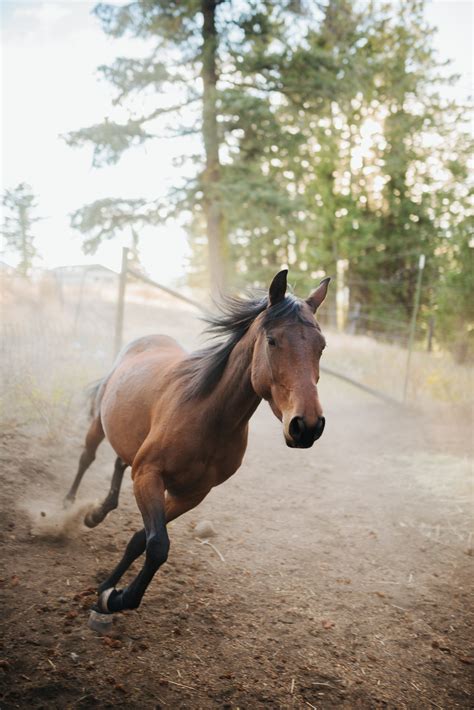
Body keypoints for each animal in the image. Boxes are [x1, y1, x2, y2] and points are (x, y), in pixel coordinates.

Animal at [64, 269, 330, 614]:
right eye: (273, 341)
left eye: (321, 346)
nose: (307, 426)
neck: (207, 418)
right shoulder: (149, 475)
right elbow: (158, 545)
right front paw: (117, 596)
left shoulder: (191, 494)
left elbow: (141, 540)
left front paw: (108, 592)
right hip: (99, 423)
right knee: (87, 458)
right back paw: (67, 506)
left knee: (120, 462)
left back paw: (98, 512)